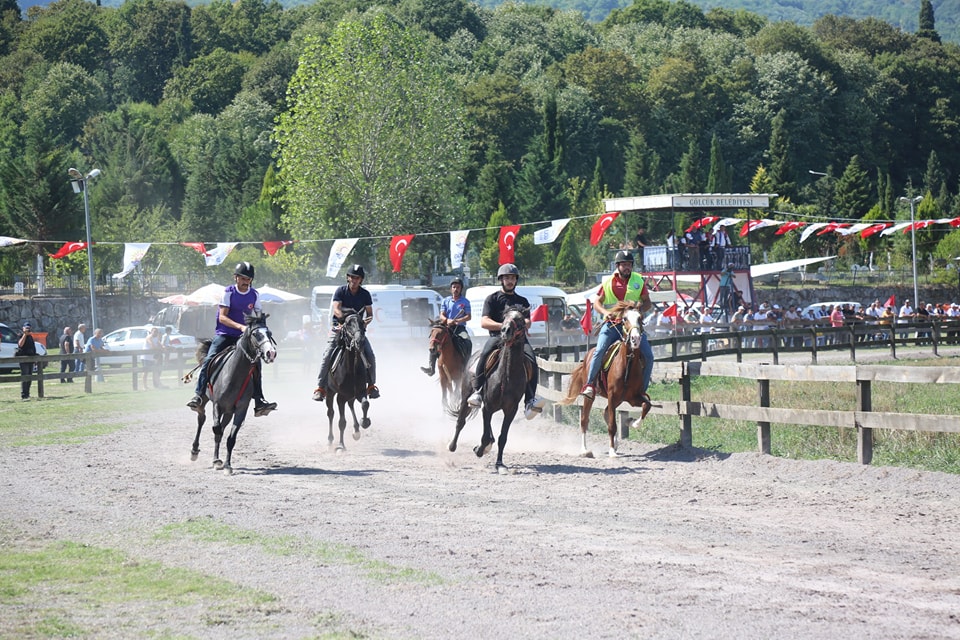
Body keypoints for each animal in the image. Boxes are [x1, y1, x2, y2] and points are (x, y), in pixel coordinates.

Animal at [188, 312, 276, 472]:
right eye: (256, 334)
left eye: (269, 333)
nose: (271, 353)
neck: (234, 376)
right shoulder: (217, 405)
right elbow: (216, 430)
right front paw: (217, 461)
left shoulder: (241, 409)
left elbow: (230, 438)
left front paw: (227, 465)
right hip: (204, 400)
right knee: (201, 419)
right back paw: (195, 451)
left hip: (229, 412)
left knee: (222, 427)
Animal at [322, 308, 368, 450]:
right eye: (347, 324)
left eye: (362, 322)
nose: (359, 341)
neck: (351, 369)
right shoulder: (340, 397)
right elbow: (341, 422)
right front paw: (341, 446)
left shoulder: (360, 391)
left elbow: (365, 404)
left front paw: (365, 422)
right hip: (330, 392)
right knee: (330, 413)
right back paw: (330, 440)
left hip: (350, 394)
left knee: (351, 405)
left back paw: (356, 430)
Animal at [450, 304, 532, 476]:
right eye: (504, 317)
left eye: (521, 320)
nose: (505, 331)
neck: (506, 376)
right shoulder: (487, 408)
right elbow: (485, 436)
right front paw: (479, 449)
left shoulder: (510, 411)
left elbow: (502, 438)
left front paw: (500, 464)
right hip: (466, 397)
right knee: (460, 422)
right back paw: (452, 446)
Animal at [556, 302, 652, 458]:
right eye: (624, 319)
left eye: (640, 318)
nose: (636, 339)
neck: (627, 363)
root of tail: (588, 355)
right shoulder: (612, 396)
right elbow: (612, 425)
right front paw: (612, 452)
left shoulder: (633, 397)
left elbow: (646, 406)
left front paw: (632, 423)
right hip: (591, 396)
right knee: (585, 420)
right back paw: (585, 450)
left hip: (618, 399)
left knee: (605, 413)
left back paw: (616, 442)